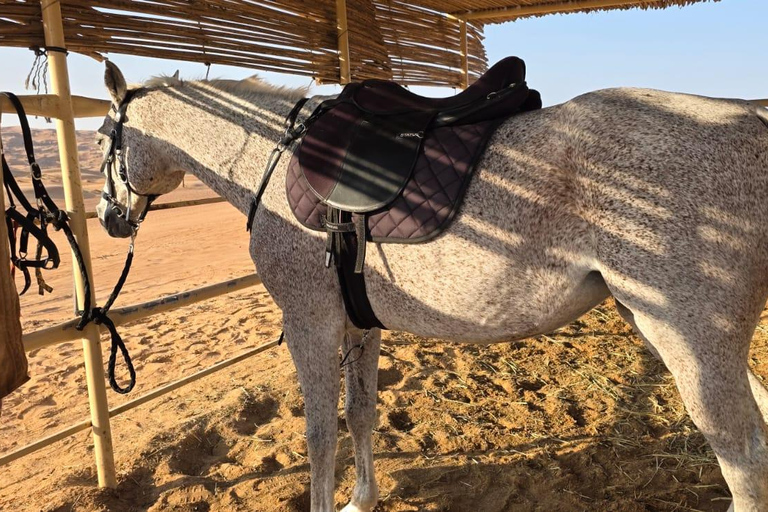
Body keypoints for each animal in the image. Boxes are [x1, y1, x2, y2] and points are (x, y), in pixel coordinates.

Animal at [94, 60, 768, 512]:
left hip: (691, 340)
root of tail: (751, 115)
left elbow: (319, 436)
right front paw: (362, 498)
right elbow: (361, 413)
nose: (108, 218)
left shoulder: (310, 325)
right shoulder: (357, 323)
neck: (271, 154)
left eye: (102, 138)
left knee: (745, 459)